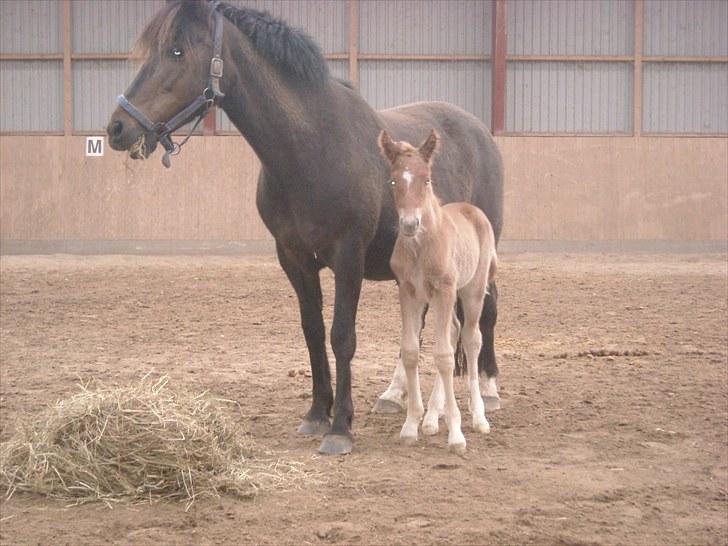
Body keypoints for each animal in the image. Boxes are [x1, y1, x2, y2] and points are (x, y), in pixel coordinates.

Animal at [378, 130, 498, 452]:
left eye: (427, 179)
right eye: (393, 181)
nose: (410, 224)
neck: (421, 245)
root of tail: (473, 210)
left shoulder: (444, 290)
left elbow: (443, 356)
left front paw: (456, 434)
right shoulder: (409, 292)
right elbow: (411, 350)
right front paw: (411, 424)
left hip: (471, 290)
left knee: (471, 338)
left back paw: (479, 416)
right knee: (454, 331)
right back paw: (432, 417)